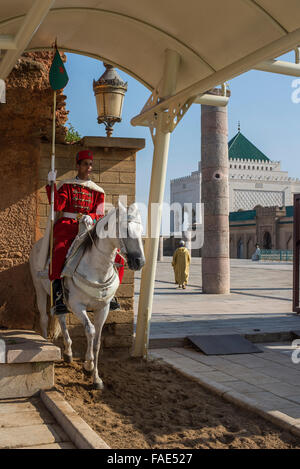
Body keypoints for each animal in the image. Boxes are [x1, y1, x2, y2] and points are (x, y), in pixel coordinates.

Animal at [29, 201, 145, 388]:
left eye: (141, 230)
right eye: (126, 230)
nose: (139, 262)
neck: (97, 268)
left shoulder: (103, 308)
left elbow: (97, 340)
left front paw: (96, 377)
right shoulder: (77, 306)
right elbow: (90, 330)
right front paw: (88, 364)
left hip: (61, 300)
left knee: (61, 318)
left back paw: (68, 352)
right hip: (39, 287)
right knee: (44, 317)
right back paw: (47, 343)